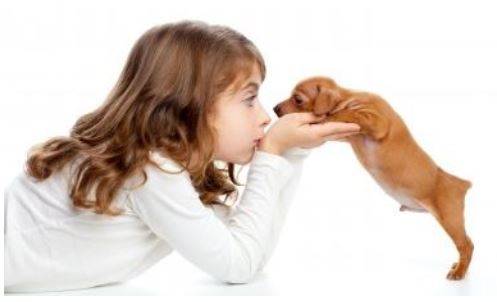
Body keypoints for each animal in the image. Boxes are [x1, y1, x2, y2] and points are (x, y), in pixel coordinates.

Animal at [276, 76, 472, 280]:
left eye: (297, 99)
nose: (275, 109)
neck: (349, 97)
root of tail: (461, 183)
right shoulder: (348, 135)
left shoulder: (378, 121)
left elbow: (353, 114)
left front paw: (332, 115)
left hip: (450, 219)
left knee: (467, 245)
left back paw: (459, 271)